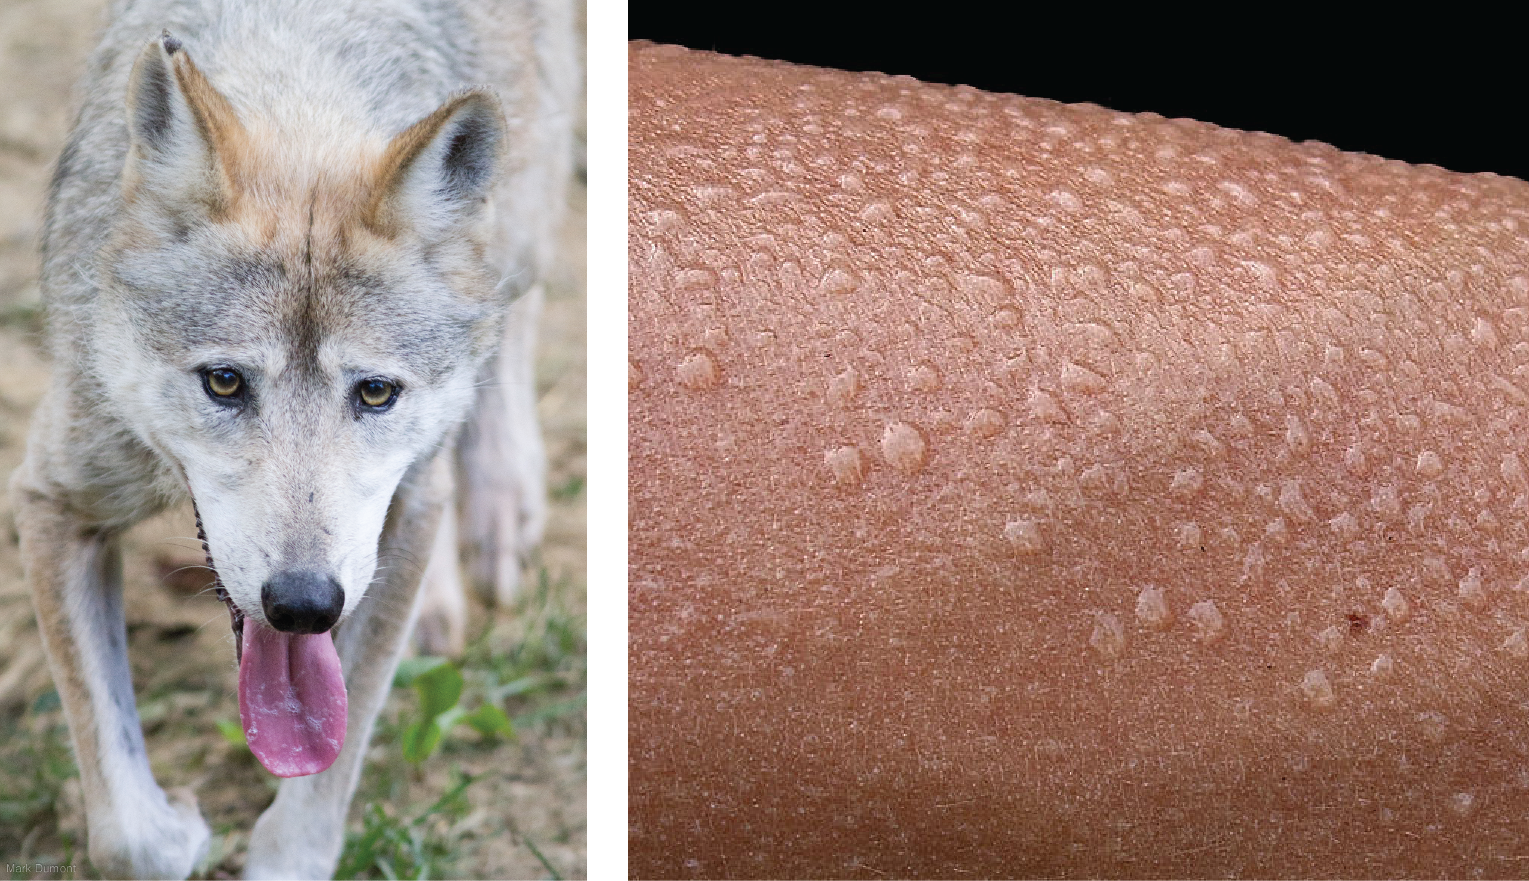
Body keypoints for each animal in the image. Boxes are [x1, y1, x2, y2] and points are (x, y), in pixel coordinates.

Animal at [5, 0, 574, 874]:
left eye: (374, 392)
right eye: (225, 382)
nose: (305, 605)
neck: (302, 73)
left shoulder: (409, 512)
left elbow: (312, 813)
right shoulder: (57, 495)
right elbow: (129, 836)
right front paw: (177, 829)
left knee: (511, 306)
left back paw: (499, 511)